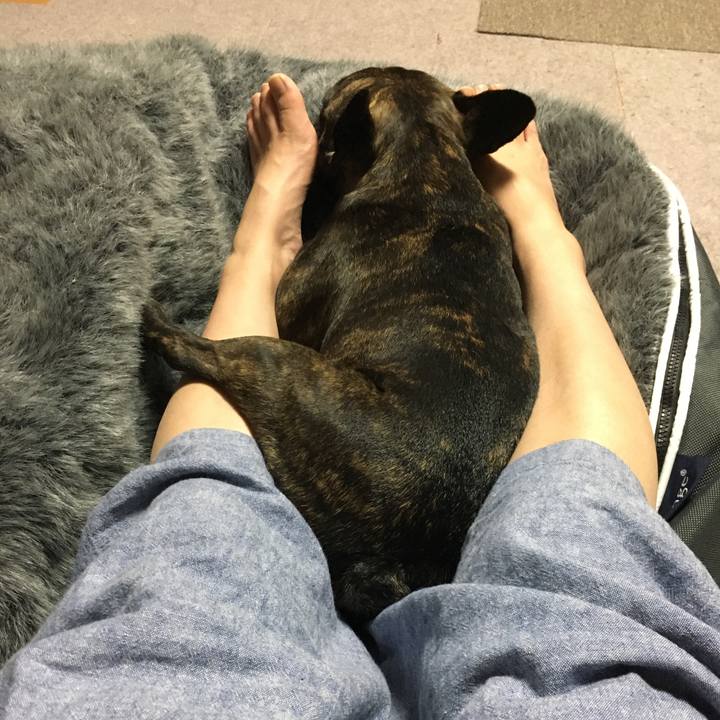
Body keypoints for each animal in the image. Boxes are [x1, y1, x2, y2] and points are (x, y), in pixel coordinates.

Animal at [142, 66, 539, 628]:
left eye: (327, 118)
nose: (313, 128)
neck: (425, 160)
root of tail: (396, 552)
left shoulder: (289, 306)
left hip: (278, 365)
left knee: (211, 354)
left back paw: (160, 324)